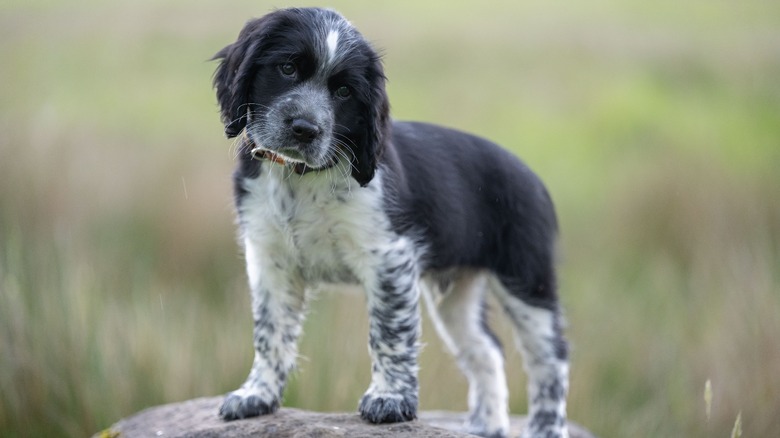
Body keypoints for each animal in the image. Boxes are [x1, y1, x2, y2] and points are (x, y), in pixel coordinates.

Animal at [210, 7, 568, 438]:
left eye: (344, 92)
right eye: (287, 68)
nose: (305, 129)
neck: (301, 178)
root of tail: (532, 176)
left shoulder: (388, 259)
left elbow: (388, 333)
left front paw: (390, 400)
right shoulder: (270, 260)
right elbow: (270, 332)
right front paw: (256, 395)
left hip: (527, 281)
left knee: (549, 362)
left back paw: (546, 428)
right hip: (455, 296)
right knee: (486, 351)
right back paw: (485, 427)